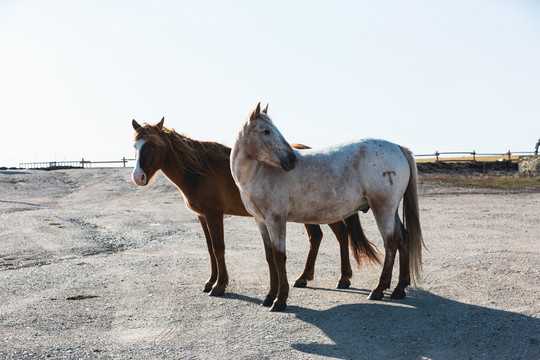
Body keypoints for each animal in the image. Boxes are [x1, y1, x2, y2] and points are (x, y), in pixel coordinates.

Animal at [131, 119, 380, 298]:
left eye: (152, 144)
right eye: (135, 146)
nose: (138, 176)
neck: (200, 171)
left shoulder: (214, 214)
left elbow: (219, 248)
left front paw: (220, 285)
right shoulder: (202, 217)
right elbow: (210, 249)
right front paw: (210, 281)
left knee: (341, 235)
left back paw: (342, 278)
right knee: (319, 237)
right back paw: (305, 278)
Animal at [230, 102, 424, 310]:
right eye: (265, 131)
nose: (292, 160)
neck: (260, 172)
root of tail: (397, 147)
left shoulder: (276, 220)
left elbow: (279, 257)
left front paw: (280, 300)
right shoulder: (261, 221)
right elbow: (269, 257)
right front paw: (269, 296)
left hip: (383, 209)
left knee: (391, 242)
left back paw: (379, 289)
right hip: (391, 210)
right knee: (403, 238)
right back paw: (399, 289)